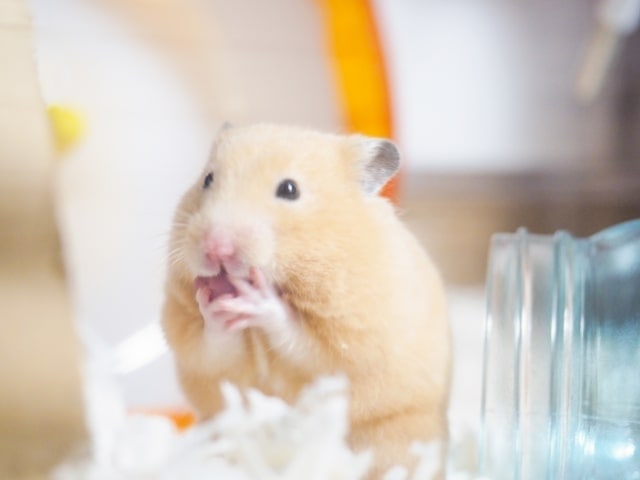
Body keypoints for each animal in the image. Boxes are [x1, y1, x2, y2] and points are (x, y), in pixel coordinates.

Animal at [162, 124, 451, 477]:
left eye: (289, 189)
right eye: (208, 179)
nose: (216, 248)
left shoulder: (347, 336)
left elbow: (297, 336)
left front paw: (260, 299)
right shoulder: (190, 336)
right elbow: (212, 345)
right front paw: (213, 305)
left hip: (396, 434)